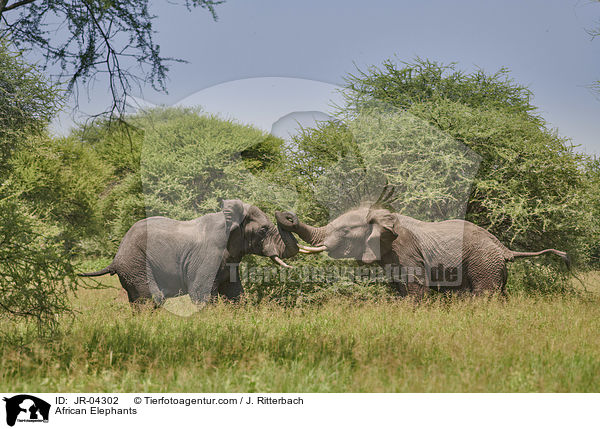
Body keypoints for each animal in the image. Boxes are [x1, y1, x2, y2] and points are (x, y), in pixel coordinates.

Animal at [81, 199, 298, 306]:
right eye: (263, 230)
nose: (286, 214)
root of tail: (116, 257)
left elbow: (236, 294)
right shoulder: (208, 256)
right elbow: (201, 293)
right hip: (136, 264)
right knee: (150, 299)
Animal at [276, 205, 568, 298]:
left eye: (346, 231)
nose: (286, 215)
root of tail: (503, 248)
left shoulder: (404, 250)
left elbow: (416, 288)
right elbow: (399, 288)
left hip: (483, 262)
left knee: (484, 294)